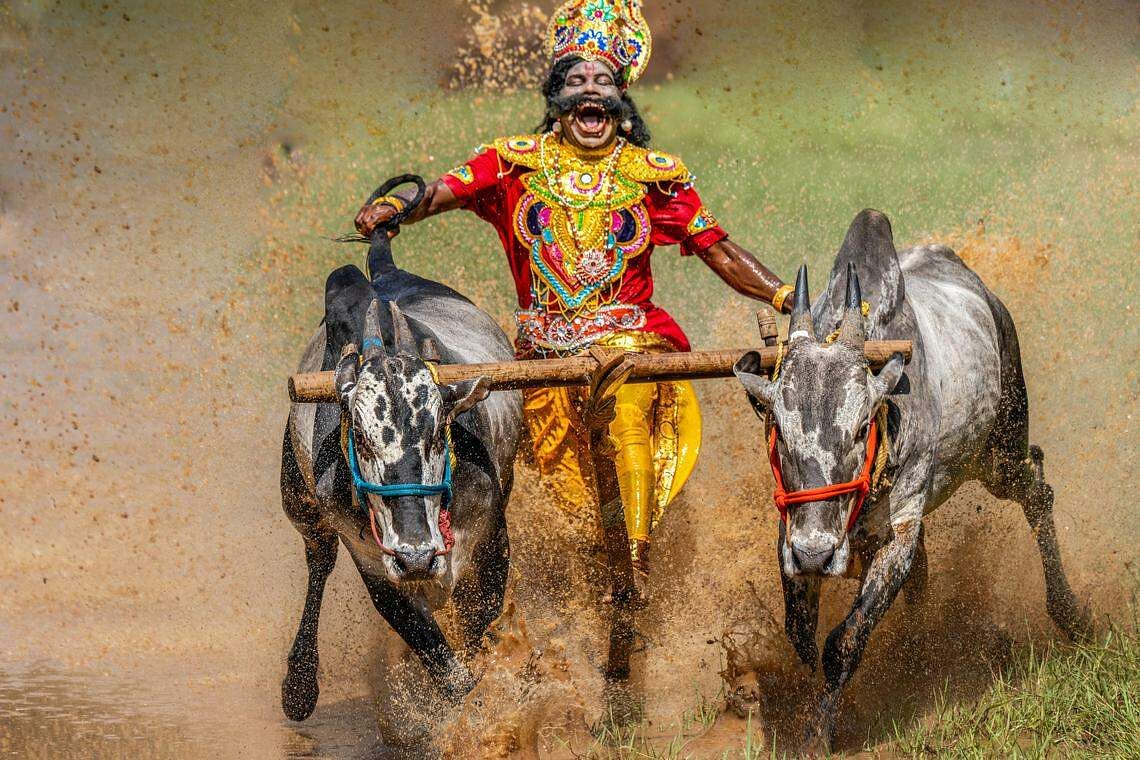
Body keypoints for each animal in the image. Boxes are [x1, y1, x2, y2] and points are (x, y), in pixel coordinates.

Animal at [280, 247, 522, 724]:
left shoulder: (490, 537)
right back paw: (298, 685)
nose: (416, 557)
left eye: (438, 431)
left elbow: (478, 635)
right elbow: (450, 673)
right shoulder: (376, 566)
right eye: (359, 435)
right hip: (299, 504)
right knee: (318, 563)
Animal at [729, 210, 1085, 752]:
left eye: (861, 427)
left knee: (1037, 488)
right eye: (779, 431)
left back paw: (1071, 615)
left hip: (997, 453)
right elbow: (801, 634)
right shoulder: (790, 530)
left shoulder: (897, 530)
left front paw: (818, 734)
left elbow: (842, 643)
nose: (816, 554)